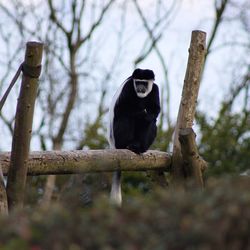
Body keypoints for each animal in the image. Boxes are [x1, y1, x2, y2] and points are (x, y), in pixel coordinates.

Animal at [108, 68, 161, 205]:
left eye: (144, 83)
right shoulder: (128, 88)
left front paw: (147, 115)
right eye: (138, 82)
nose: (140, 88)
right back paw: (128, 146)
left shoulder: (155, 89)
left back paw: (138, 147)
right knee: (126, 117)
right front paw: (141, 113)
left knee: (151, 123)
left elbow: (155, 111)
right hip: (118, 137)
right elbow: (121, 109)